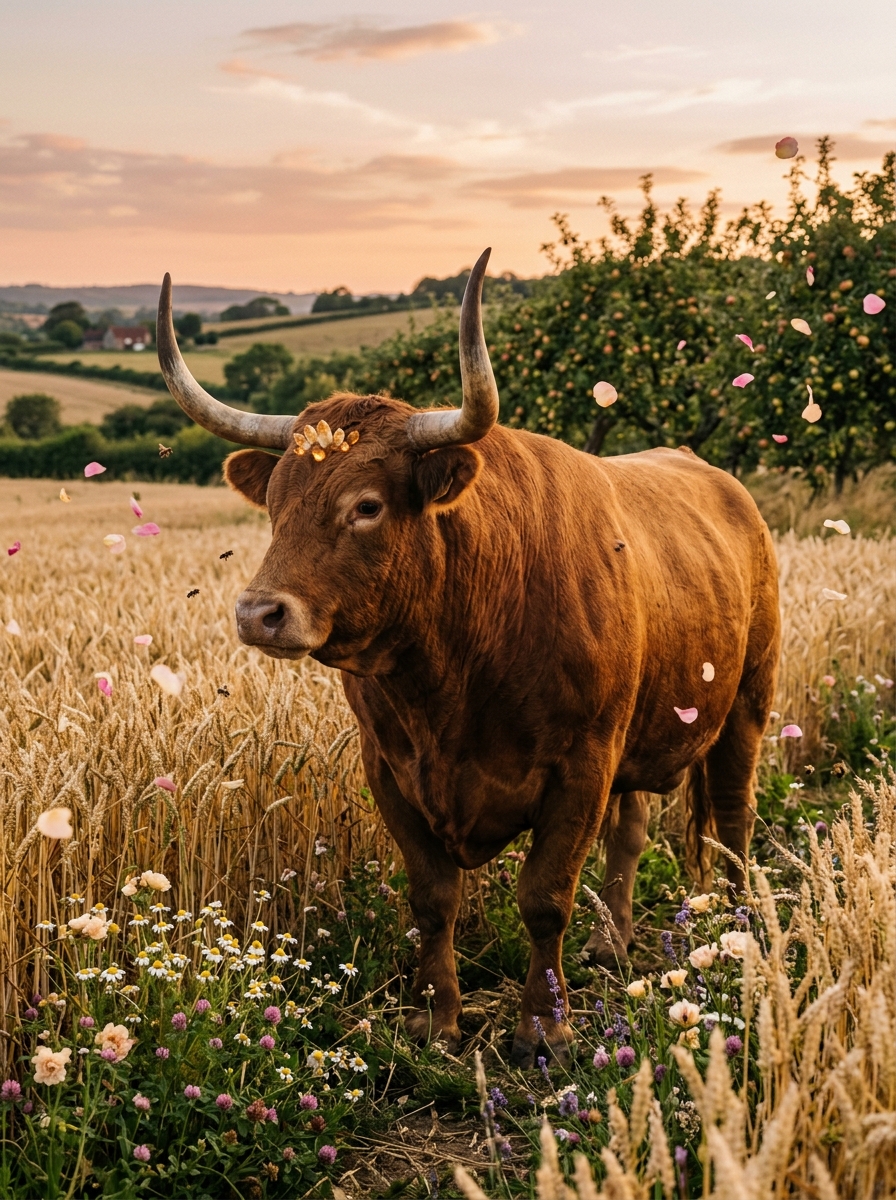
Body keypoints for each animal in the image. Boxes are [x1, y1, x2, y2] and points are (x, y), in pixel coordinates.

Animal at [157, 250, 780, 1067]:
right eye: (276, 503)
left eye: (367, 505)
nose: (260, 612)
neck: (453, 674)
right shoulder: (390, 767)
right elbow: (434, 897)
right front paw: (435, 1019)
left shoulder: (581, 765)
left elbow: (544, 897)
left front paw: (544, 1025)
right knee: (633, 831)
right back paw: (612, 944)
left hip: (746, 702)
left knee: (735, 818)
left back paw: (738, 930)